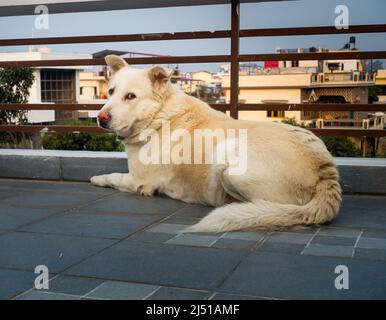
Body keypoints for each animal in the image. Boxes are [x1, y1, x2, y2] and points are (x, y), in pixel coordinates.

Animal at [90, 55, 340, 232]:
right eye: (110, 91)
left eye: (130, 96)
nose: (100, 118)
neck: (159, 117)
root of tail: (325, 172)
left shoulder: (138, 181)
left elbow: (113, 177)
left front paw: (97, 179)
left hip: (227, 156)